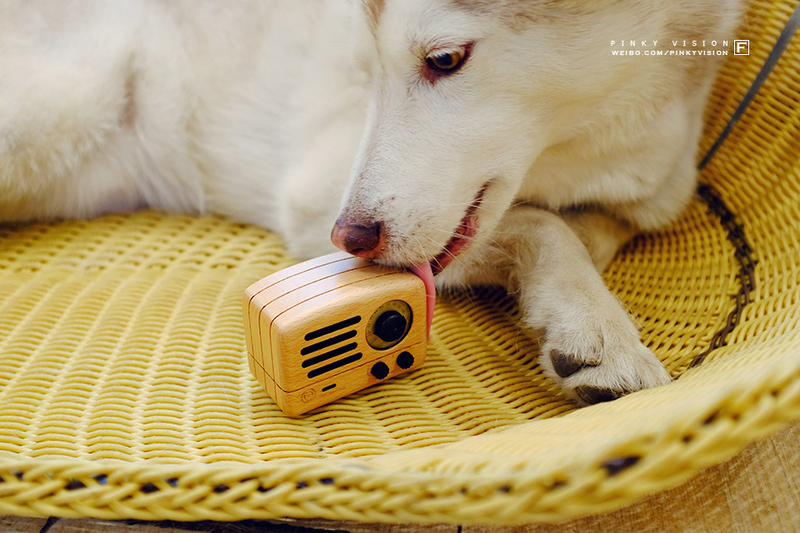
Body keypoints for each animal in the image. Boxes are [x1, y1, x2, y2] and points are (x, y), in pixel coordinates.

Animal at [0, 0, 744, 404]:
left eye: (443, 59)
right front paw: (598, 329)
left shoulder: (646, 194)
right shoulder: (316, 188)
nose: (349, 237)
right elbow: (542, 227)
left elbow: (585, 231)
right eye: (368, 70)